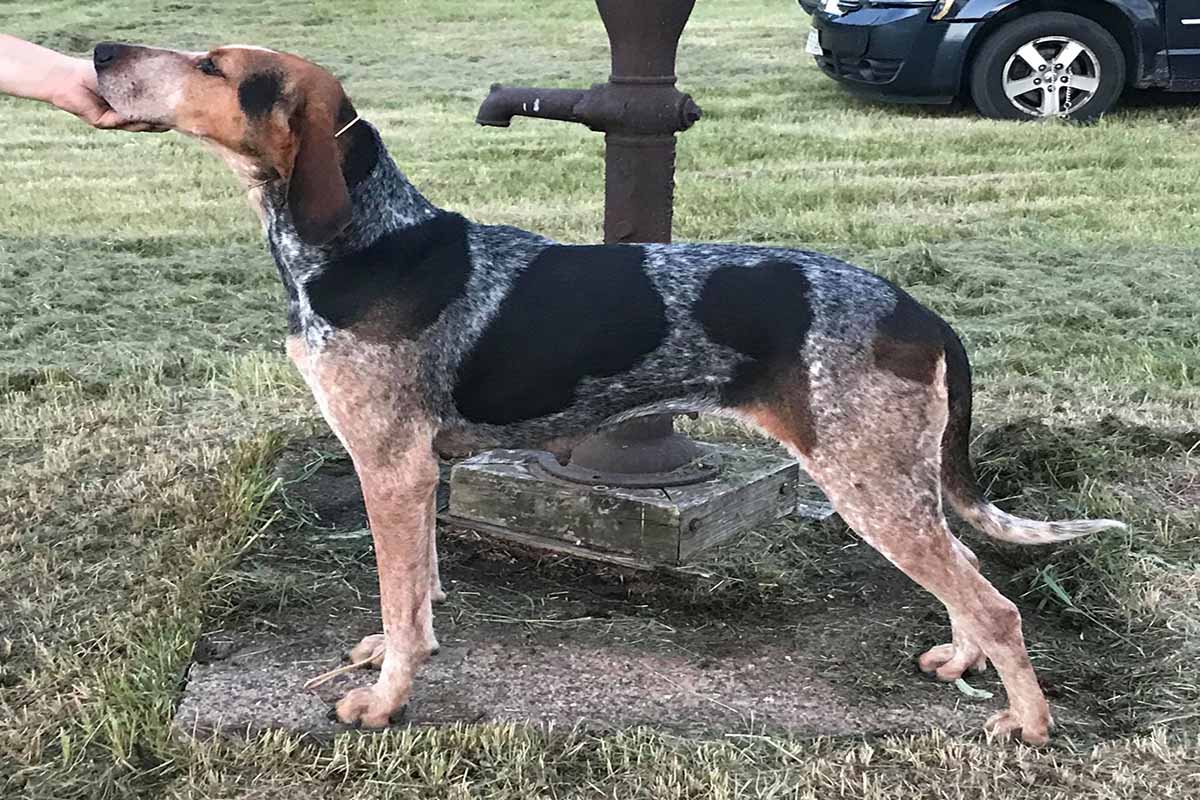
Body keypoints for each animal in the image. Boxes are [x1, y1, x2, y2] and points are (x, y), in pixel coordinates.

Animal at [96, 42, 1123, 743]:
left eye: (214, 66)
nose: (104, 52)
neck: (365, 239)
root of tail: (920, 309)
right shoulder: (420, 471)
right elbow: (417, 593)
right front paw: (394, 654)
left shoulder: (388, 466)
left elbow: (401, 599)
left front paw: (385, 700)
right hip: (895, 480)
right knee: (969, 577)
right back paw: (961, 660)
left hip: (868, 481)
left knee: (999, 603)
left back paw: (1029, 724)